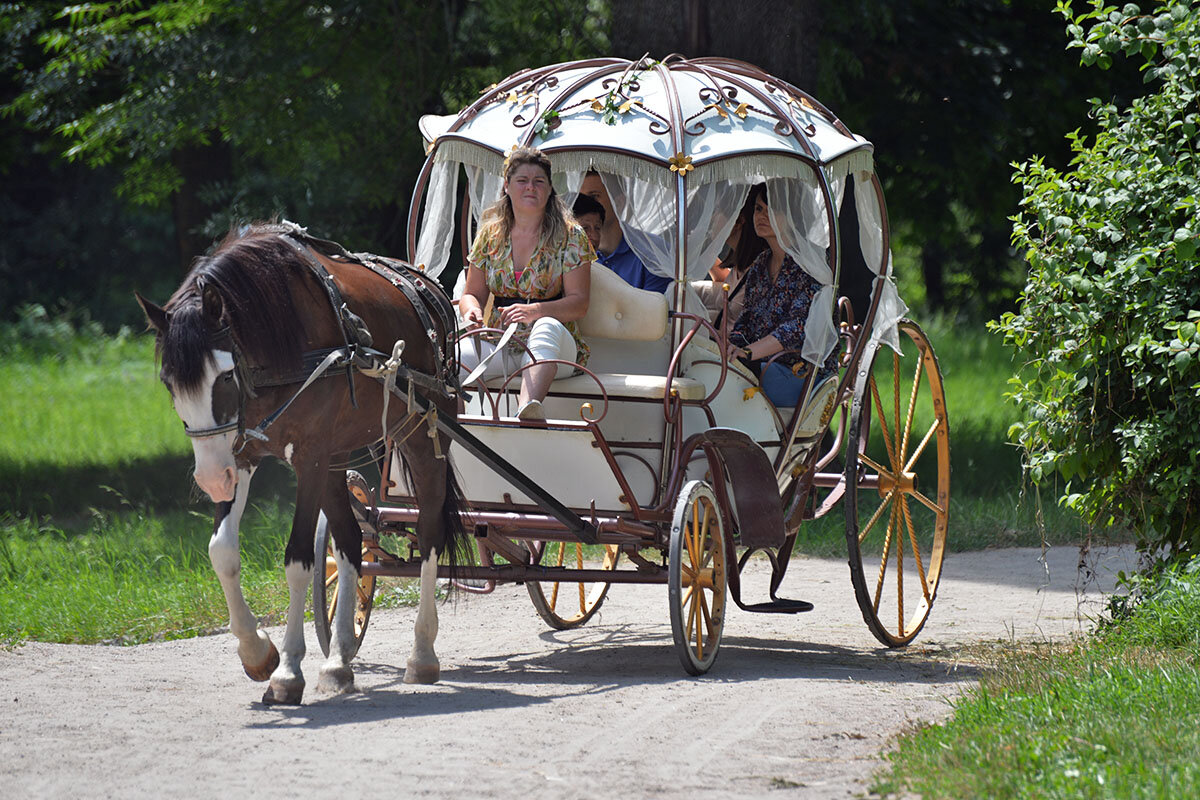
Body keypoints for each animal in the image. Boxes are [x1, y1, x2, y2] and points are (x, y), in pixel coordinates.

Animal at [136, 221, 463, 705]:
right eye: (168, 381)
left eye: (226, 375)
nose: (211, 479)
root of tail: (426, 286)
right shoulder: (241, 453)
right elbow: (221, 551)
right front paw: (256, 651)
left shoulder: (309, 458)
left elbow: (298, 562)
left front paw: (288, 670)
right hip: (336, 458)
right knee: (350, 541)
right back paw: (340, 659)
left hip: (422, 436)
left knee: (430, 532)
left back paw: (422, 652)